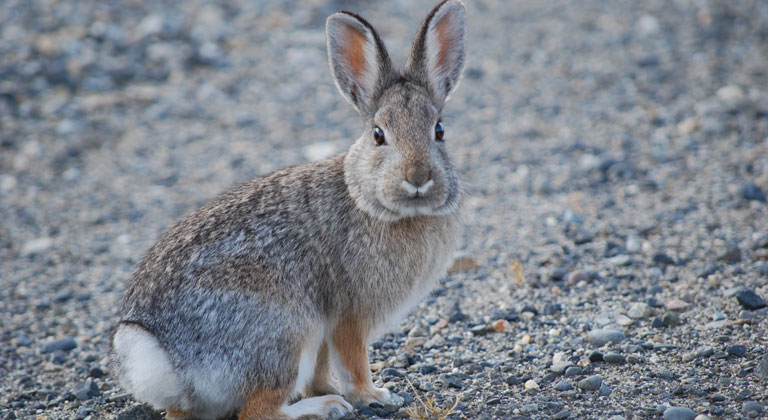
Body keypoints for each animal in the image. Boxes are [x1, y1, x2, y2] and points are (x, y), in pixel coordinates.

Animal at [110, 1, 464, 418]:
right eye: (379, 136)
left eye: (439, 131)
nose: (418, 178)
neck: (372, 201)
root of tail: (165, 358)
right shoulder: (349, 315)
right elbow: (353, 361)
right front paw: (373, 395)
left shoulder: (327, 332)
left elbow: (324, 366)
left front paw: (334, 388)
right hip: (286, 333)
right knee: (259, 410)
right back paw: (324, 406)